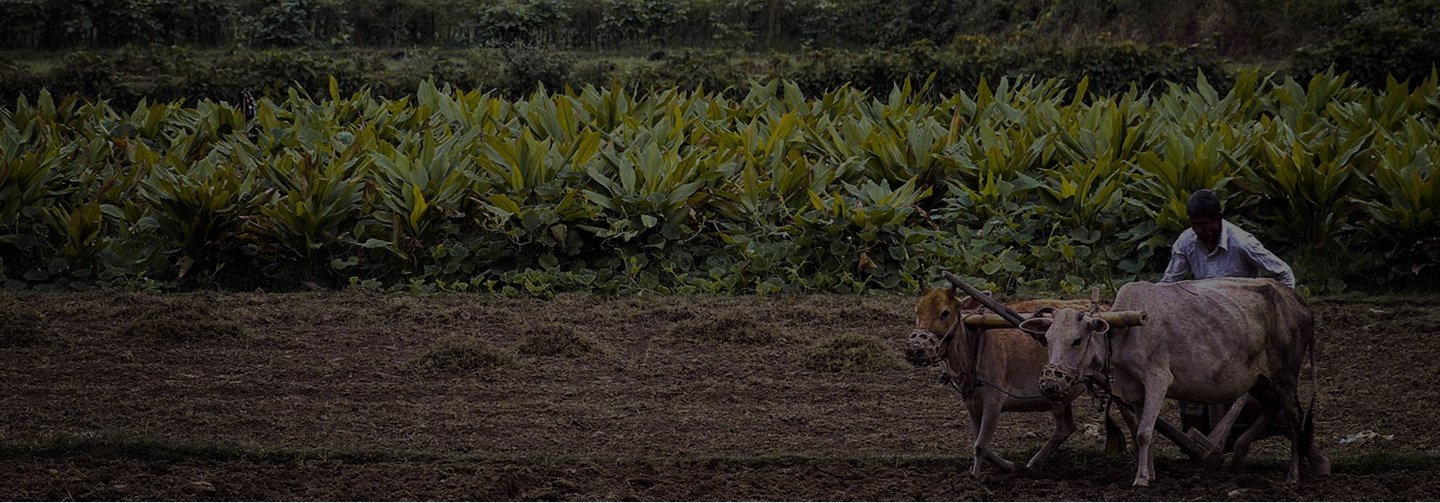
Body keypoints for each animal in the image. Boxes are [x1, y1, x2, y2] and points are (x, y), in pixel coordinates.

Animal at [903, 285, 1095, 476]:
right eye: (917, 311)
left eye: (945, 313)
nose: (915, 349)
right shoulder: (971, 403)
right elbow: (981, 443)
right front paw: (1009, 466)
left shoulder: (993, 402)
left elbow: (980, 445)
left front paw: (975, 477)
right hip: (1061, 393)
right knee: (1065, 428)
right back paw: (1034, 465)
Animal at [1019, 277, 1328, 486]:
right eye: (1047, 339)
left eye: (1076, 340)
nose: (1050, 385)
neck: (1123, 332)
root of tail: (1299, 302)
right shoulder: (1136, 392)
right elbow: (1140, 431)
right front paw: (1151, 473)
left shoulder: (1158, 379)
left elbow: (1144, 432)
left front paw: (1141, 479)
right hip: (1260, 380)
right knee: (1271, 409)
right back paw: (1239, 454)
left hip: (1285, 377)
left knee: (1294, 417)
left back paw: (1293, 475)